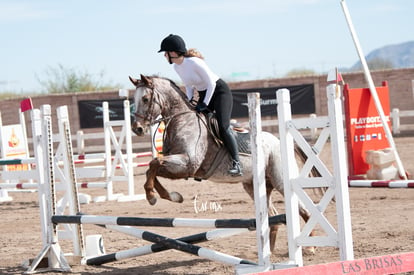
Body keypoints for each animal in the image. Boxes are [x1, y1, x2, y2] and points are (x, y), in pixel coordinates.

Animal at [129, 74, 316, 253]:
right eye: (133, 101)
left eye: (145, 98)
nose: (137, 128)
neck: (182, 121)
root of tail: (278, 140)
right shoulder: (178, 167)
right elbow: (152, 168)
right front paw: (170, 196)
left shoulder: (187, 165)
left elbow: (154, 163)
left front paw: (152, 196)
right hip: (254, 185)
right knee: (273, 216)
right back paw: (269, 251)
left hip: (280, 180)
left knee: (303, 209)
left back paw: (310, 246)